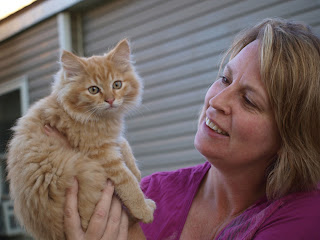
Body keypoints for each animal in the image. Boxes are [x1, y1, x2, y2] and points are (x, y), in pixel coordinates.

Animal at [5, 39, 155, 240]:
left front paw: (135, 169)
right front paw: (142, 209)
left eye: (117, 85)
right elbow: (127, 181)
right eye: (94, 90)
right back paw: (147, 207)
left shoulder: (108, 142)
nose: (110, 100)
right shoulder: (100, 154)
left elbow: (123, 143)